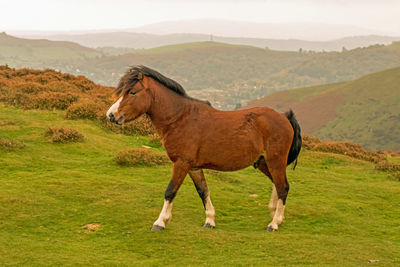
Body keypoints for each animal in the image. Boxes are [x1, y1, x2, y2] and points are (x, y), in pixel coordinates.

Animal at [106, 65, 300, 232]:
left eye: (132, 92)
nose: (111, 115)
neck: (180, 118)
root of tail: (284, 117)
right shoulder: (194, 167)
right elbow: (203, 191)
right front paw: (209, 220)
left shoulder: (181, 163)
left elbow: (170, 191)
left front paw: (160, 222)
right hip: (263, 162)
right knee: (278, 184)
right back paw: (275, 213)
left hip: (275, 160)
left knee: (283, 187)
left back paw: (274, 223)